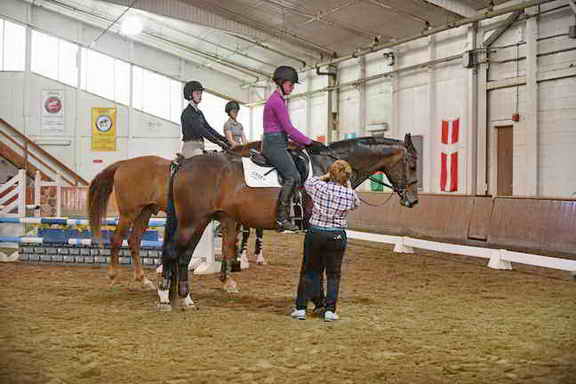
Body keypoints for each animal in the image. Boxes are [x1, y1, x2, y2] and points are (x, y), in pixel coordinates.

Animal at [158, 134, 418, 310]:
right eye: (413, 165)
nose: (413, 200)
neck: (328, 169)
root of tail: (184, 164)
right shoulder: (318, 227)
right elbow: (317, 266)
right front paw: (318, 301)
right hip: (192, 221)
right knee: (172, 252)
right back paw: (164, 297)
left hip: (199, 221)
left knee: (184, 256)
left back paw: (186, 298)